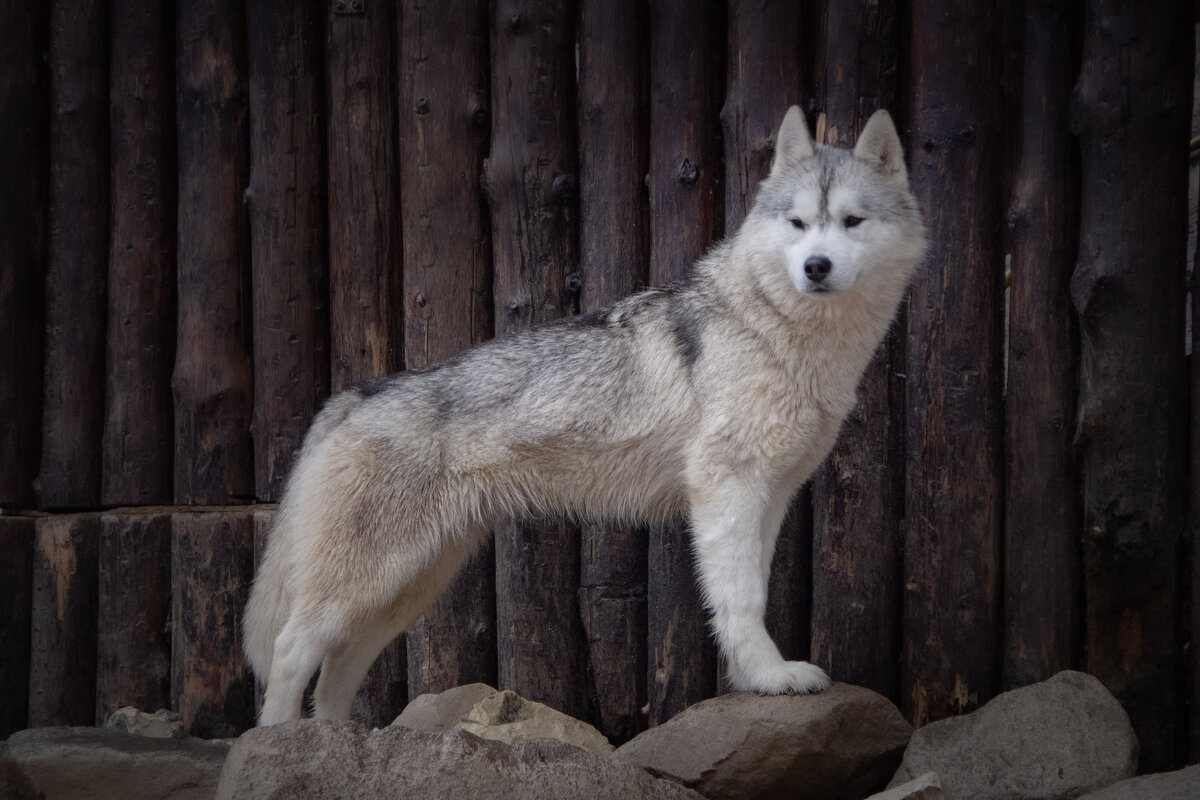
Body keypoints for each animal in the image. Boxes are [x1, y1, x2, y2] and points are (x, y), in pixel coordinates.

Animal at [243, 106, 926, 724]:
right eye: (798, 223)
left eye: (851, 221)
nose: (816, 266)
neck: (785, 337)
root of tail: (352, 396)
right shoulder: (727, 488)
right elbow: (742, 600)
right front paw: (769, 677)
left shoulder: (768, 497)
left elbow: (744, 594)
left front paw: (753, 679)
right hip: (372, 583)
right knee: (289, 652)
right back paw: (279, 745)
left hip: (404, 592)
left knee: (336, 673)